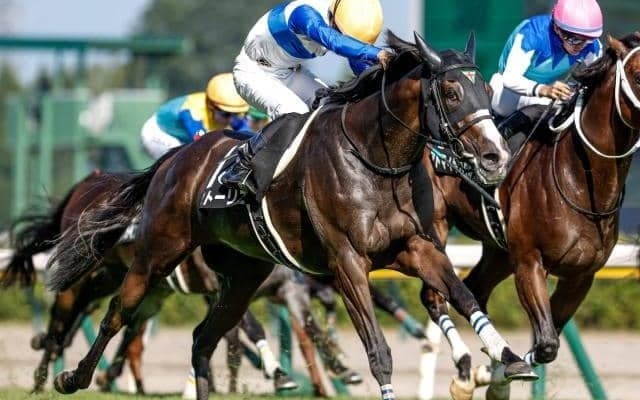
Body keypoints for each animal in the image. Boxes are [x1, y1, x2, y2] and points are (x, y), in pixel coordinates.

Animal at [47, 32, 535, 400]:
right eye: (451, 92)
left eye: (485, 90)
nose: (496, 156)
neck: (375, 161)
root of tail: (177, 158)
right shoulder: (346, 262)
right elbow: (378, 351)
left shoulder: (415, 247)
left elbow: (464, 296)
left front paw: (509, 358)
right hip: (158, 252)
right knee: (118, 313)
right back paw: (71, 377)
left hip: (243, 275)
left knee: (203, 338)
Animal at [422, 32, 640, 399]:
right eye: (638, 73)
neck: (579, 178)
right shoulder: (529, 262)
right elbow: (548, 342)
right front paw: (491, 375)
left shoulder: (580, 275)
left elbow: (546, 343)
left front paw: (495, 375)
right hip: (431, 231)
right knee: (434, 294)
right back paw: (463, 374)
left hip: (498, 252)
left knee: (475, 289)